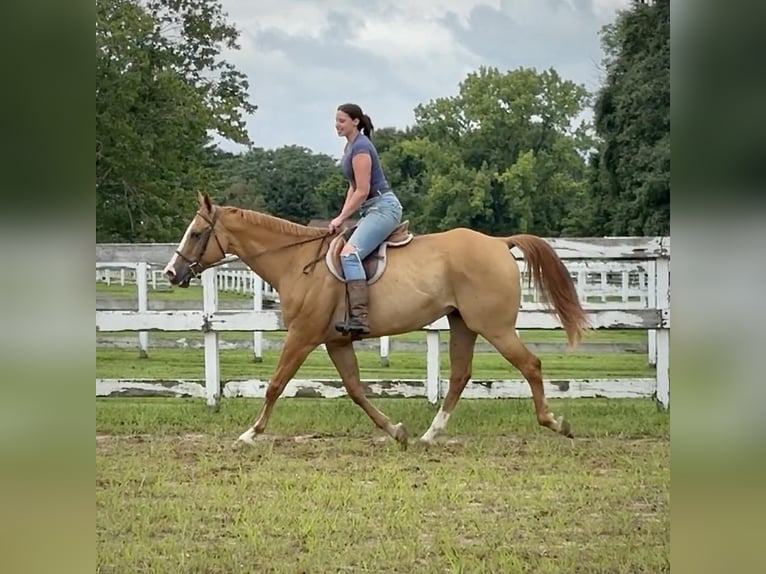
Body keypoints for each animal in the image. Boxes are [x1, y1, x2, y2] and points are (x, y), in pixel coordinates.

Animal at [164, 194, 592, 450]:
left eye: (197, 233)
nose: (171, 272)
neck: (296, 262)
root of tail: (498, 242)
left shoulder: (302, 336)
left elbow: (275, 385)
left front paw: (249, 434)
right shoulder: (336, 341)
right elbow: (355, 389)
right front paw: (396, 431)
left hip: (495, 327)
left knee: (530, 365)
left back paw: (556, 423)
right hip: (462, 324)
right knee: (459, 375)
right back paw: (429, 435)